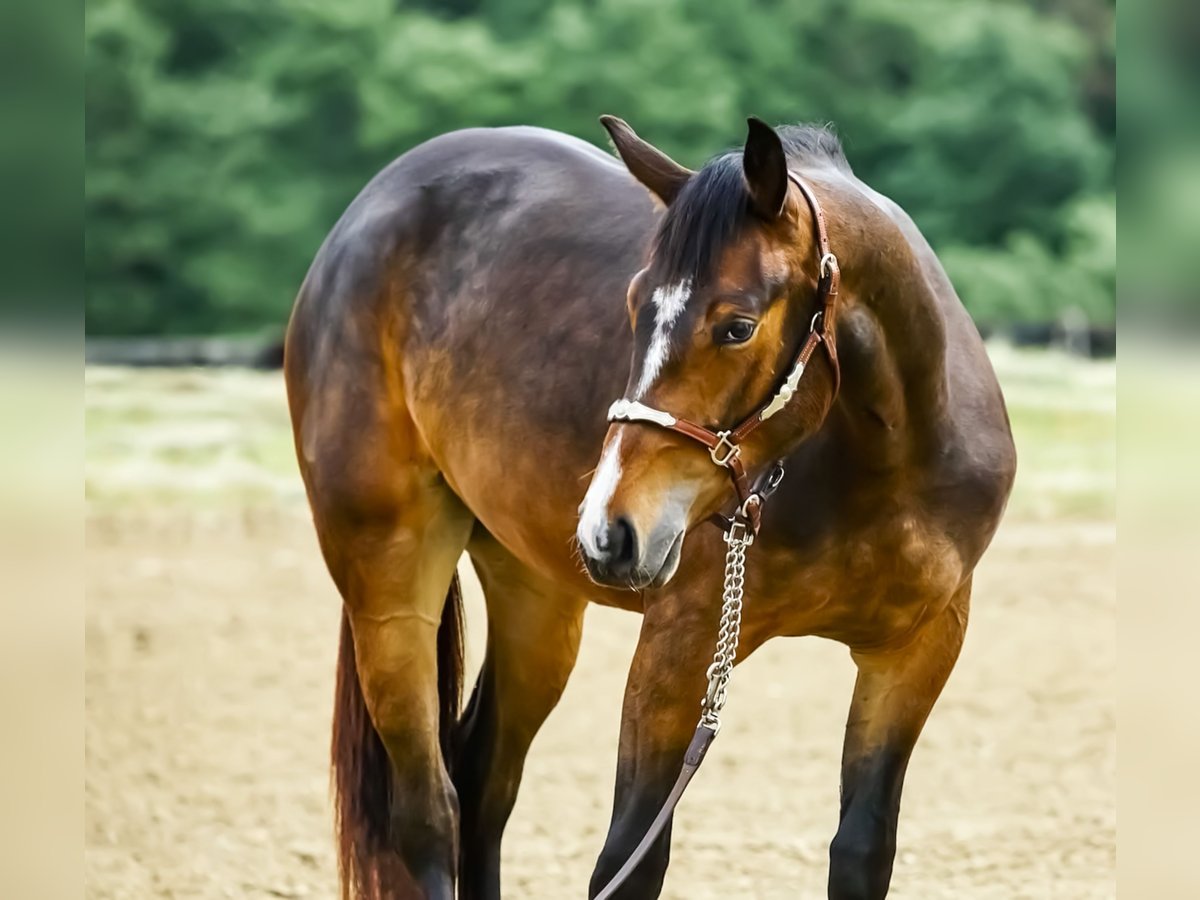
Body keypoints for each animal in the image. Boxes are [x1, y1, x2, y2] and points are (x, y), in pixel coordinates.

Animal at [285, 114, 1017, 900]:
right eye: (636, 305)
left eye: (737, 325)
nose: (611, 532)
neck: (881, 466)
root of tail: (367, 212)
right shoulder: (679, 649)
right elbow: (631, 858)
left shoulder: (915, 652)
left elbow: (861, 851)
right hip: (389, 581)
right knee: (428, 811)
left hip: (536, 598)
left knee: (482, 783)